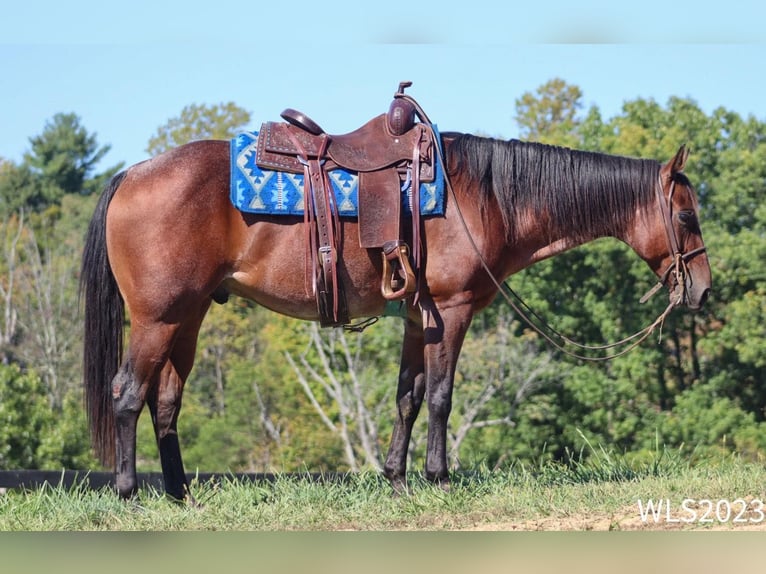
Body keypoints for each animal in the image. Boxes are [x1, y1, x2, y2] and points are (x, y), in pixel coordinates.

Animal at [79, 127, 712, 504]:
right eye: (685, 217)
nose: (704, 290)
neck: (483, 196)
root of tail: (131, 173)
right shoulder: (452, 311)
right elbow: (440, 396)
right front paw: (439, 477)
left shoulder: (416, 318)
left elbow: (408, 396)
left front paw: (397, 477)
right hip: (158, 319)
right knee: (127, 391)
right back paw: (129, 491)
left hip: (186, 319)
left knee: (165, 400)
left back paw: (179, 492)